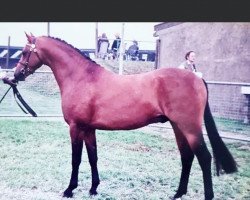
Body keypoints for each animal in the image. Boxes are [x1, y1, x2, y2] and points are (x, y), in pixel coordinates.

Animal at [12, 33, 237, 199]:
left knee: (204, 158)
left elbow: (76, 159)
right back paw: (178, 193)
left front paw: (70, 189)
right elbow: (93, 157)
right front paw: (93, 188)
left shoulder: (76, 127)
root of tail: (196, 78)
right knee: (187, 156)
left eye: (24, 52)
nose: (15, 75)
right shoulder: (89, 129)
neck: (82, 78)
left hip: (190, 128)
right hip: (177, 127)